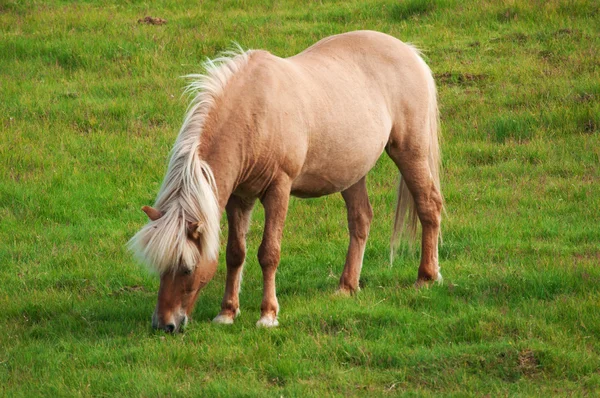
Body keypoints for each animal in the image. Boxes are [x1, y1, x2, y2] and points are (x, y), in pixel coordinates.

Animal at [129, 30, 442, 332]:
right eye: (159, 267)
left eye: (186, 268)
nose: (164, 324)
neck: (254, 113)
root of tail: (409, 51)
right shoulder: (238, 199)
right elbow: (235, 253)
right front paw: (227, 313)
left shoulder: (278, 190)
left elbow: (269, 253)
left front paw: (268, 315)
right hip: (352, 172)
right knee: (361, 219)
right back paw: (347, 286)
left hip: (409, 152)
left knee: (429, 206)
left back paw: (426, 277)